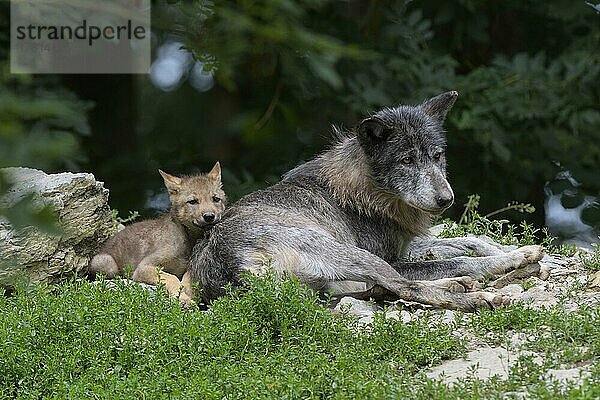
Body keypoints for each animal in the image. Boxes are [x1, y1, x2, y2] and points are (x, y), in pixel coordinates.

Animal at [188, 92, 544, 310]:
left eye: (436, 156)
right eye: (407, 161)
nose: (446, 199)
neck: (367, 193)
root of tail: (229, 262)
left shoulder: (401, 245)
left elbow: (465, 241)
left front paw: (503, 248)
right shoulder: (391, 256)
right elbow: (458, 258)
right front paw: (516, 256)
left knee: (380, 288)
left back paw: (458, 285)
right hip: (350, 254)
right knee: (405, 286)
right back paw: (477, 296)